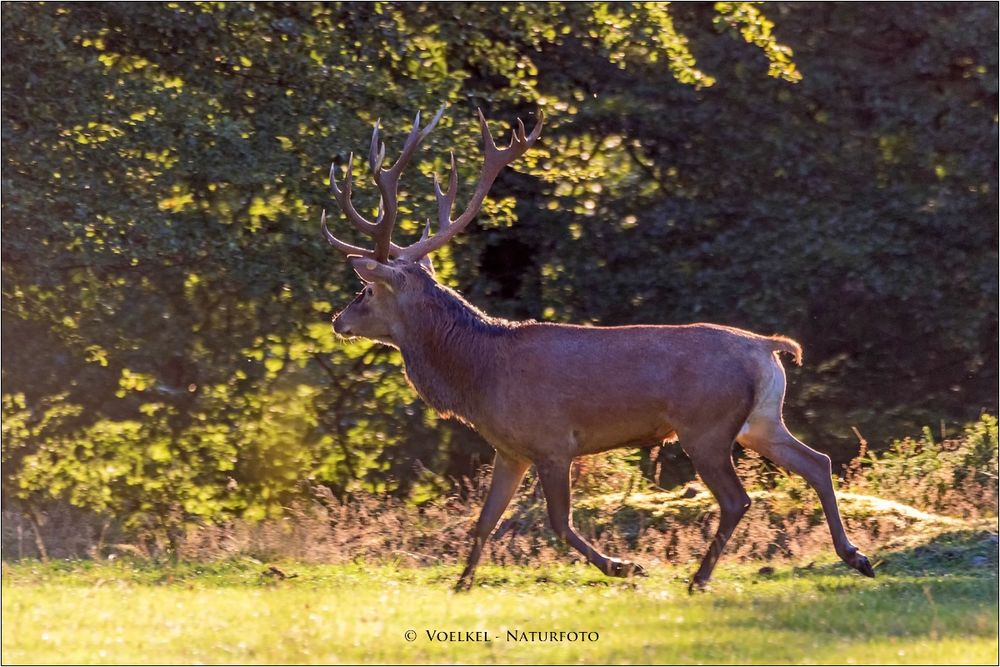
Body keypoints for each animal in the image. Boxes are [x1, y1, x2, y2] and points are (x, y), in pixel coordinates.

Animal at [320, 103, 876, 588]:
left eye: (365, 291)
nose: (338, 319)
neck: (479, 377)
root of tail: (768, 347)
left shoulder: (551, 442)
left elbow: (558, 521)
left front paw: (623, 566)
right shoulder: (509, 449)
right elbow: (485, 521)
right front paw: (461, 585)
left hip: (706, 426)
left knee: (738, 498)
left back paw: (699, 578)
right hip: (760, 421)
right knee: (818, 462)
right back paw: (856, 556)